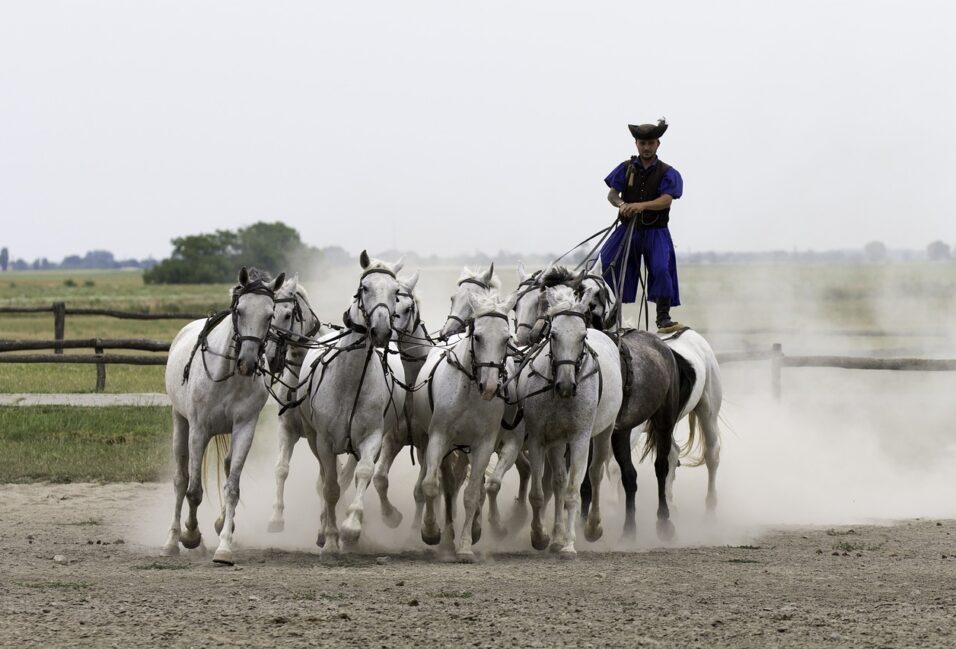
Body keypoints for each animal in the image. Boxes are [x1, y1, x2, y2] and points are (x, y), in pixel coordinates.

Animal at [161, 264, 286, 560]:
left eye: (270, 315)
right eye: (239, 311)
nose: (247, 362)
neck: (228, 375)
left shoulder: (244, 428)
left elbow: (232, 488)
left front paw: (225, 546)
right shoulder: (199, 430)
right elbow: (194, 490)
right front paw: (190, 535)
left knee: (227, 467)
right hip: (180, 422)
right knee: (181, 480)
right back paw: (172, 541)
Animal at [296, 251, 406, 548]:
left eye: (396, 292)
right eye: (364, 288)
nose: (381, 331)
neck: (350, 381)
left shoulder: (371, 437)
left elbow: (363, 474)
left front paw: (351, 527)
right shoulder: (324, 441)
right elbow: (330, 487)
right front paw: (332, 537)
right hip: (312, 438)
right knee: (326, 479)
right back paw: (324, 529)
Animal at [410, 292, 516, 560]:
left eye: (506, 338)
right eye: (477, 336)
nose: (490, 387)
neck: (469, 393)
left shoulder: (483, 445)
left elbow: (471, 495)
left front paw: (466, 545)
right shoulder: (439, 437)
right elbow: (431, 485)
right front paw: (431, 532)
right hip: (432, 442)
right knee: (442, 485)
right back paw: (444, 535)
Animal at [520, 286, 624, 556]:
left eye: (582, 336)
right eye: (553, 335)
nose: (566, 386)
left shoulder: (579, 438)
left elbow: (572, 492)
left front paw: (568, 544)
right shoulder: (540, 438)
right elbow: (540, 493)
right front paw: (542, 536)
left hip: (604, 432)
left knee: (596, 473)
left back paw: (593, 527)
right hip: (557, 441)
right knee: (558, 481)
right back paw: (556, 537)